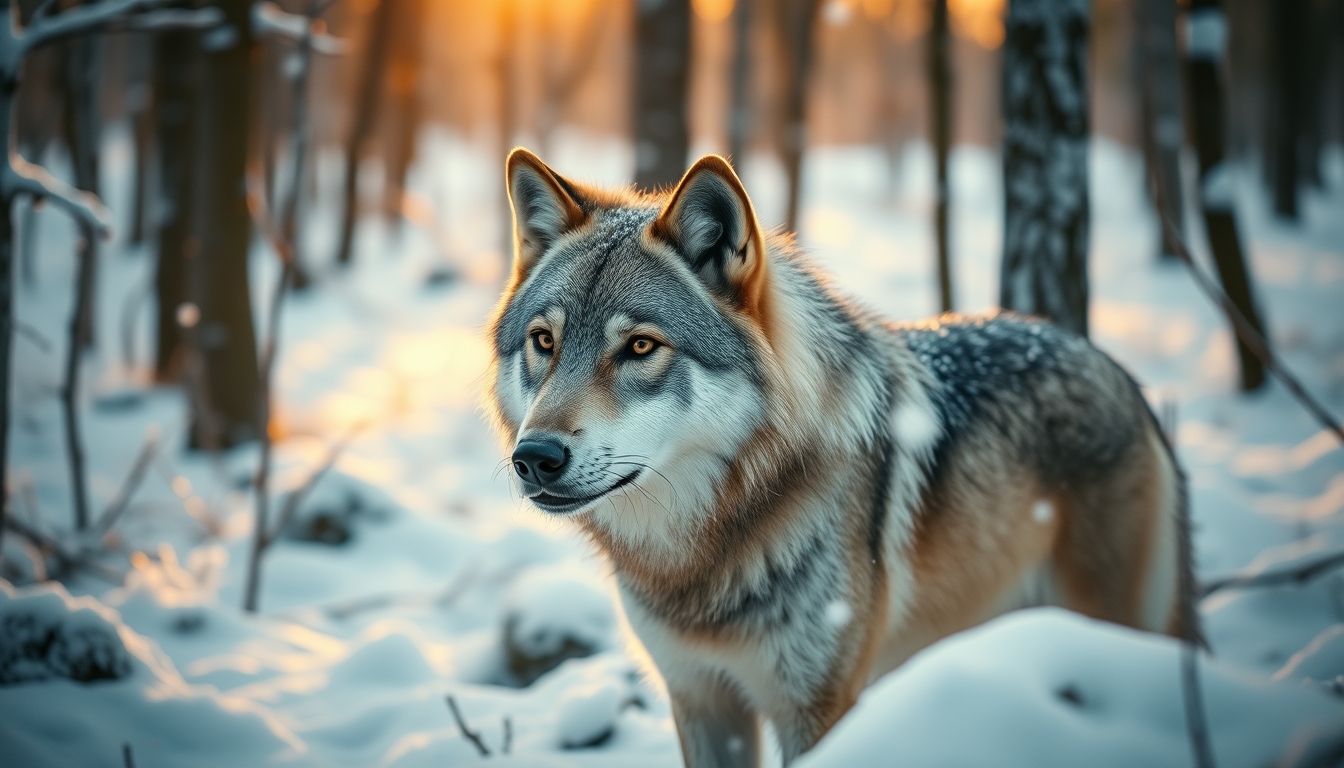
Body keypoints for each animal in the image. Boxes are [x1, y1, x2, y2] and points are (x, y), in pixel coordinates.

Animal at [485, 149, 1190, 767]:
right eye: (543, 341)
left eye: (639, 347)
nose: (535, 457)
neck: (706, 549)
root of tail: (1116, 370)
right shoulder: (702, 701)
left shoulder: (818, 708)